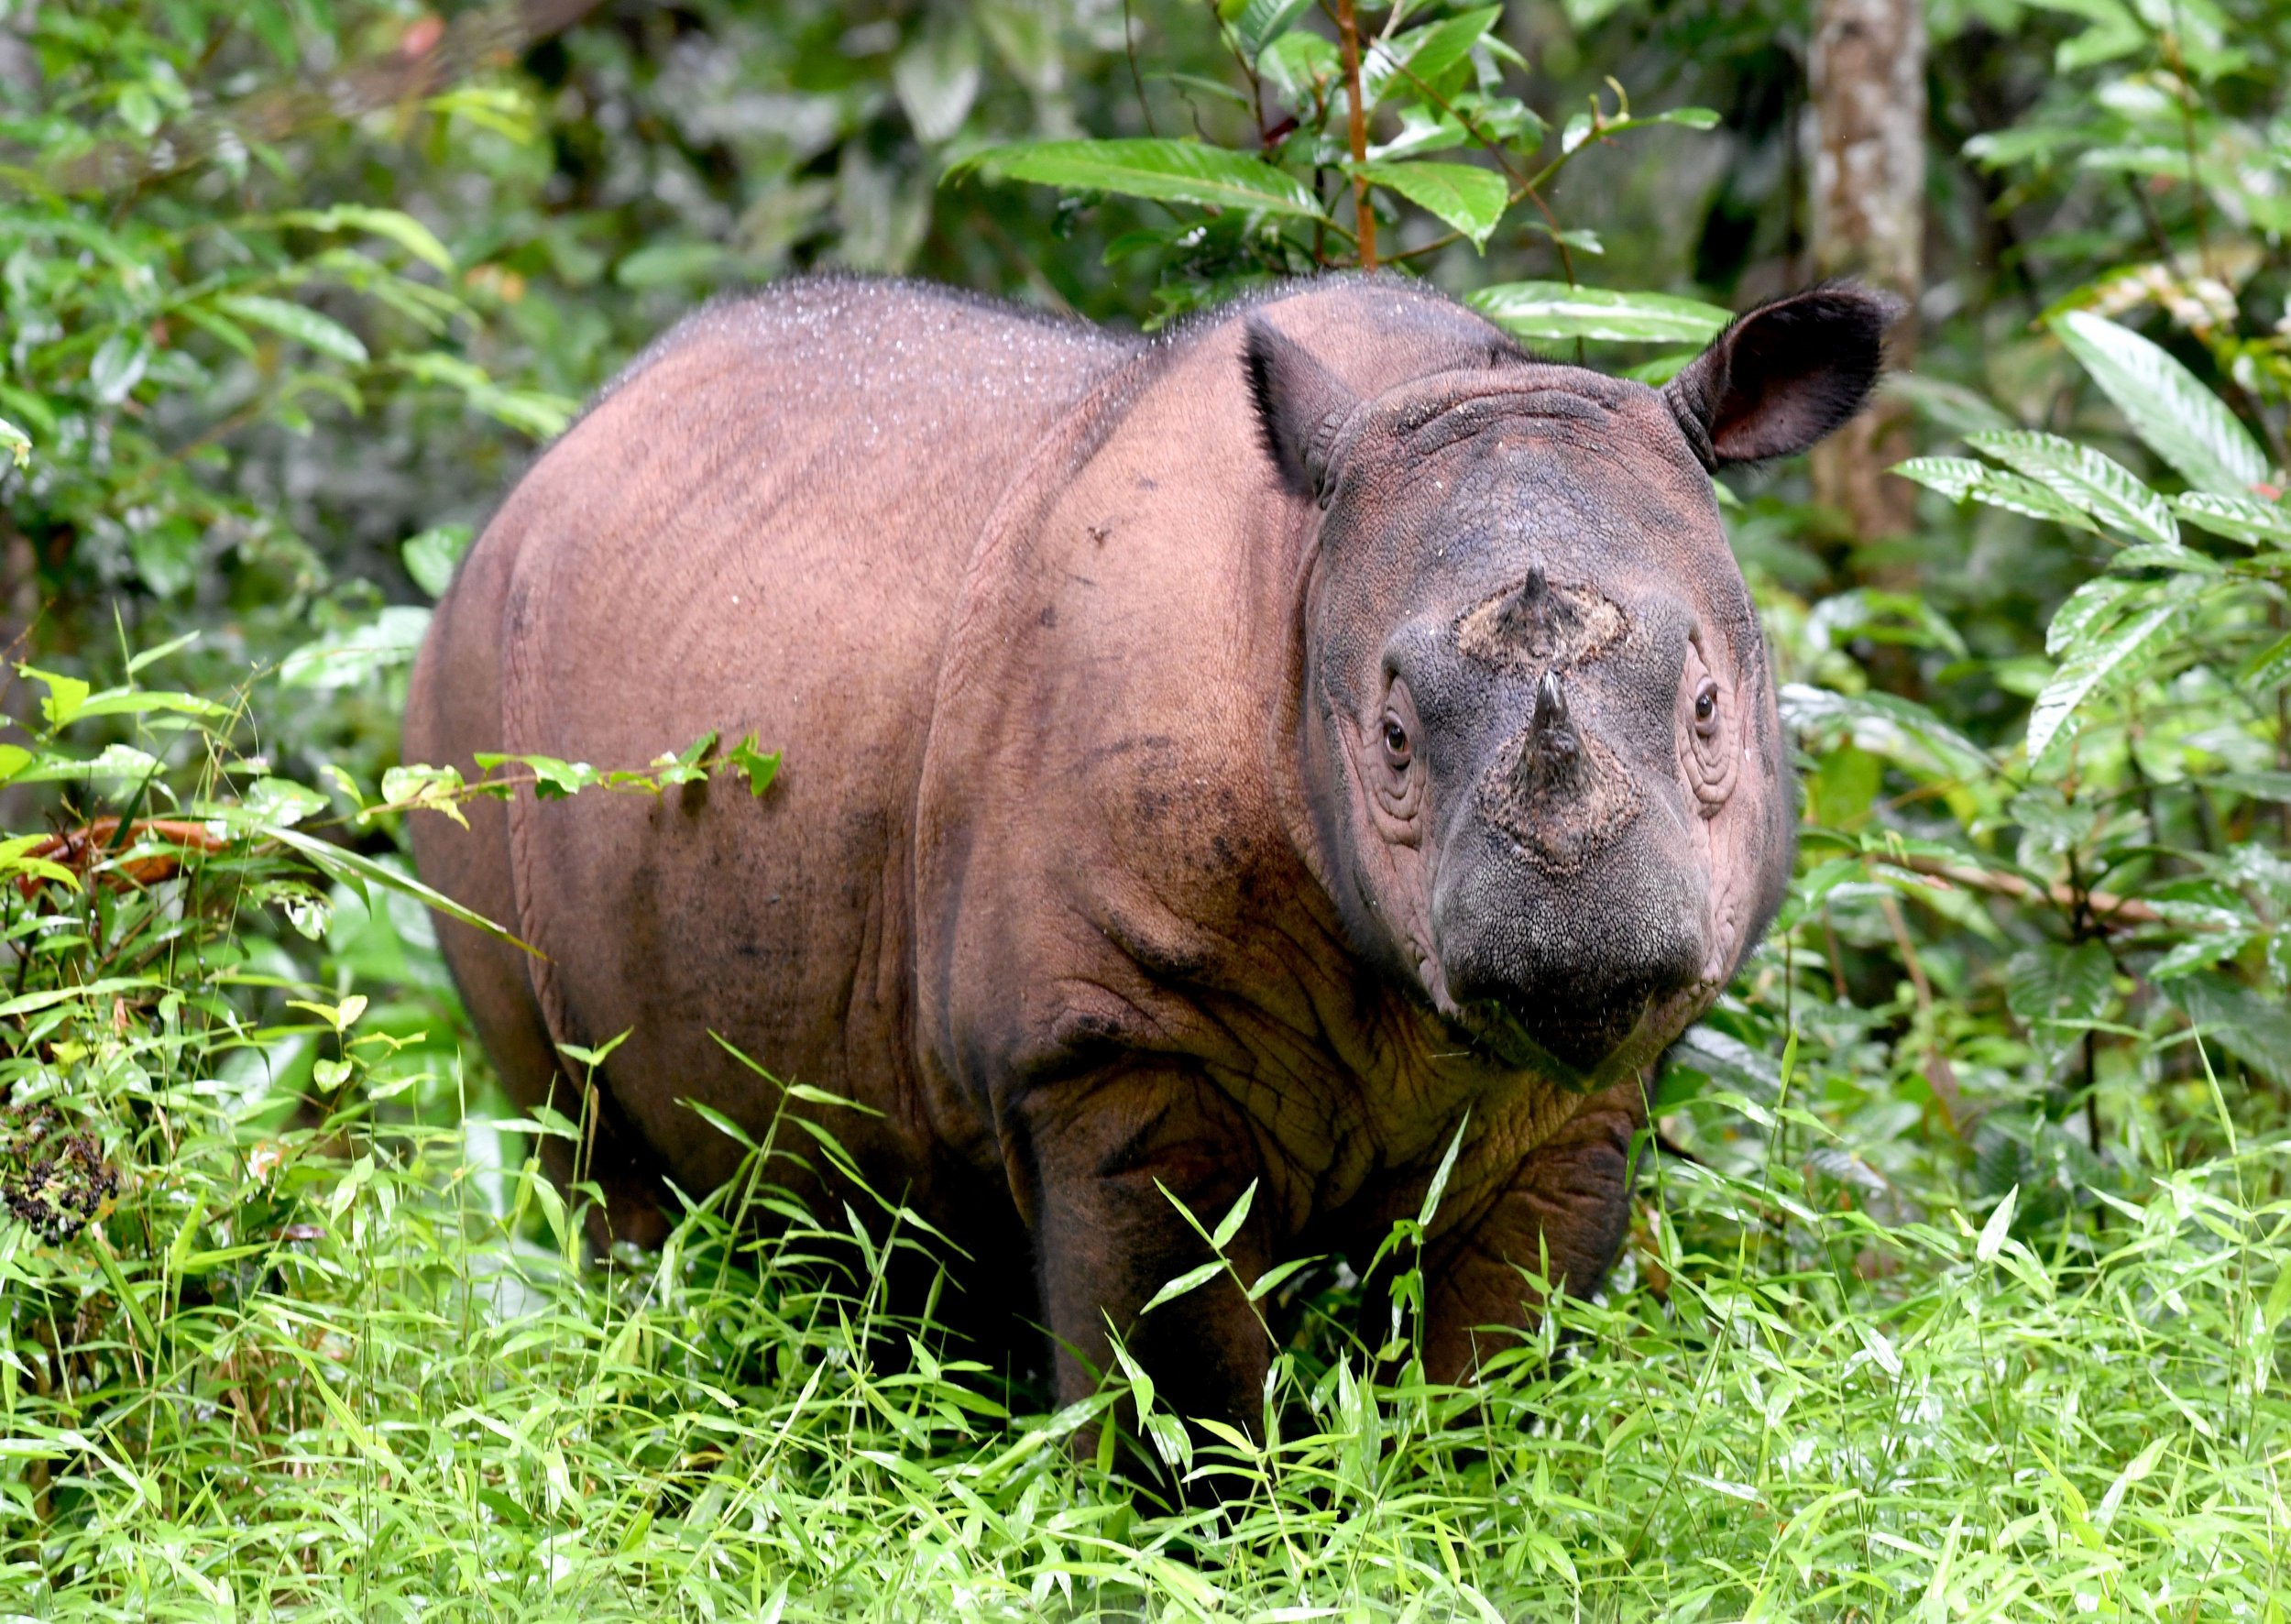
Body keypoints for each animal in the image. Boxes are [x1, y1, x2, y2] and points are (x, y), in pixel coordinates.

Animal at [403, 272, 1888, 1429]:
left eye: (1711, 711)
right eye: (1392, 738)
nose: (1579, 951)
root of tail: (551, 459)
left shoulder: (1575, 1098)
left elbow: (1492, 1369)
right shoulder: (1109, 1049)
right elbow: (1177, 1384)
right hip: (463, 699)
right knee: (585, 1143)